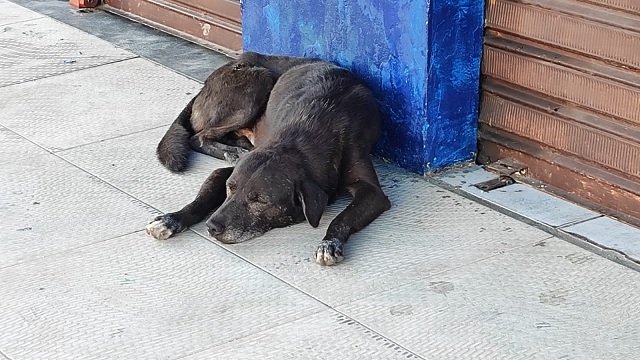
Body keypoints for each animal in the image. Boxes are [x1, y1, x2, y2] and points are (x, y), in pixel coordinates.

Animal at [146, 51, 390, 264]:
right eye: (230, 188)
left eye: (260, 200)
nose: (211, 227)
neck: (308, 129)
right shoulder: (224, 172)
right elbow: (202, 199)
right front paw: (171, 219)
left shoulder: (373, 192)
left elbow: (342, 217)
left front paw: (329, 243)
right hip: (257, 84)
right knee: (198, 137)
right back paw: (232, 151)